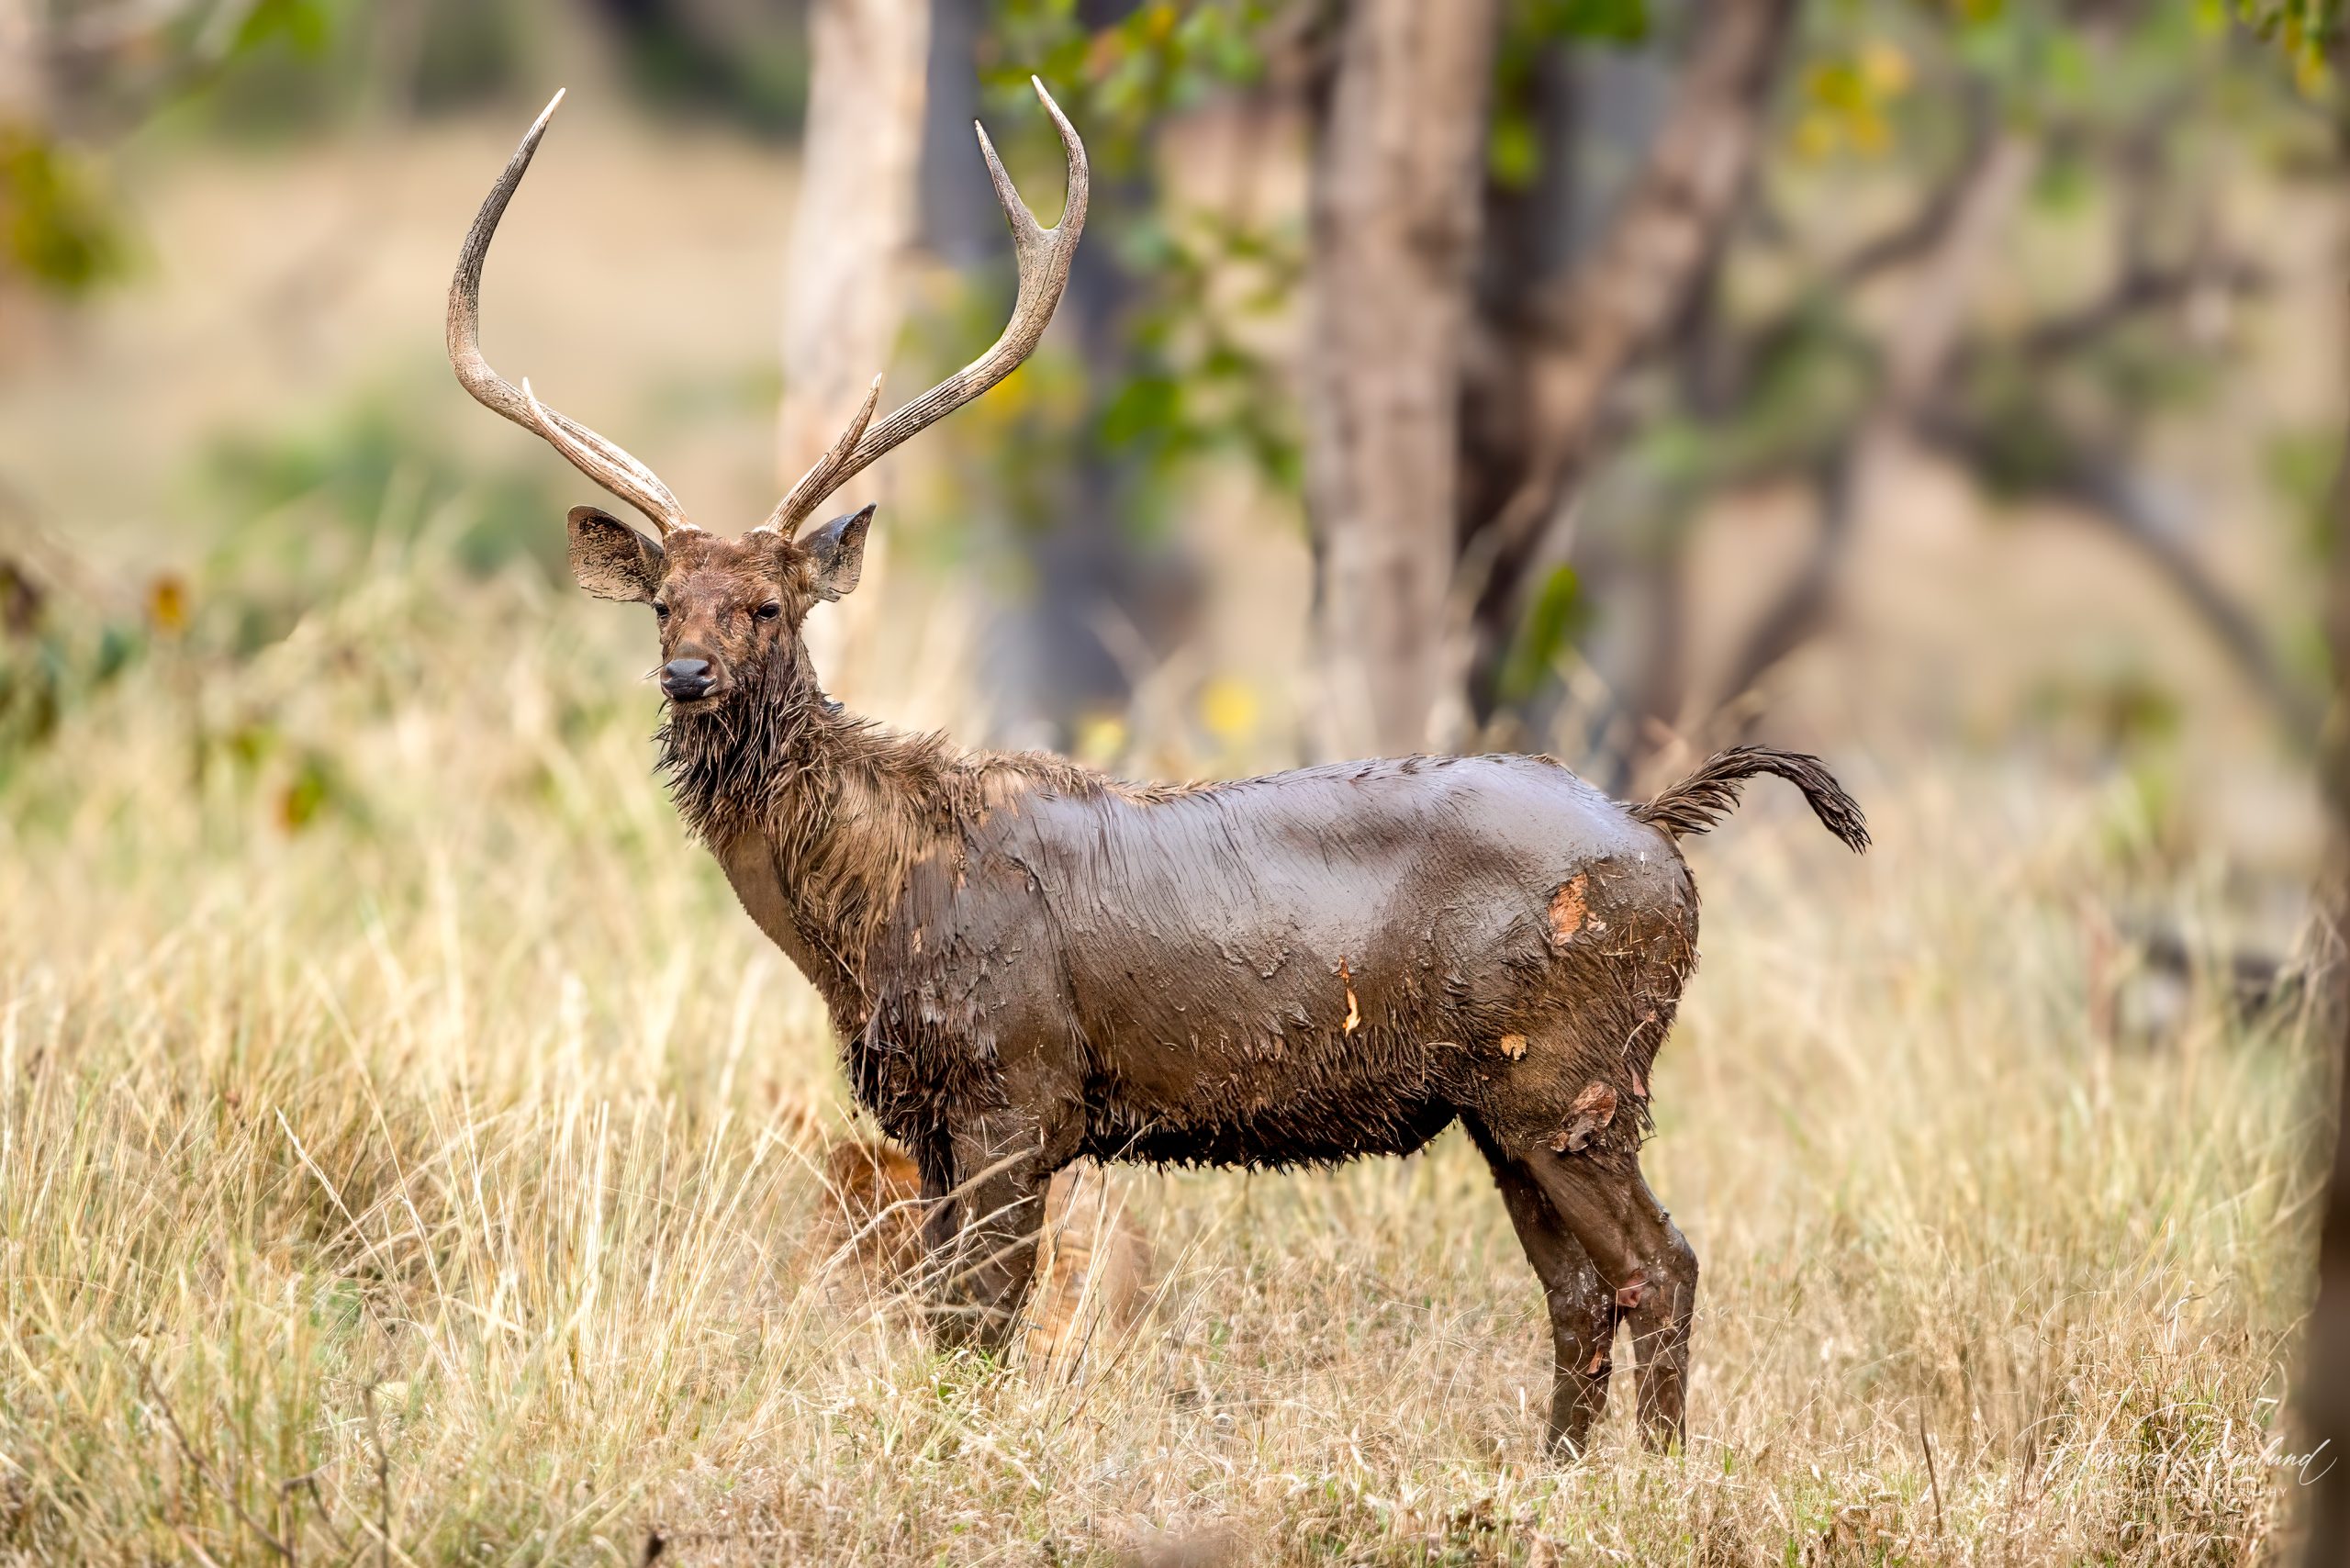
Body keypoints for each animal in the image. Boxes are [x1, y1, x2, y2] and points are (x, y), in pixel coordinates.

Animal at [448, 83, 1861, 1457]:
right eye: (664, 604)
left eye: (767, 605)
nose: (688, 676)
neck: (872, 911)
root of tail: (1660, 828)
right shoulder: (927, 1112)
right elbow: (940, 1316)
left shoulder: (1019, 1085)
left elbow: (978, 1322)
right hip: (1510, 1100)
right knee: (1577, 1287)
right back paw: (1557, 1473)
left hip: (1571, 1072)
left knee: (1660, 1265)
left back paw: (1654, 1480)